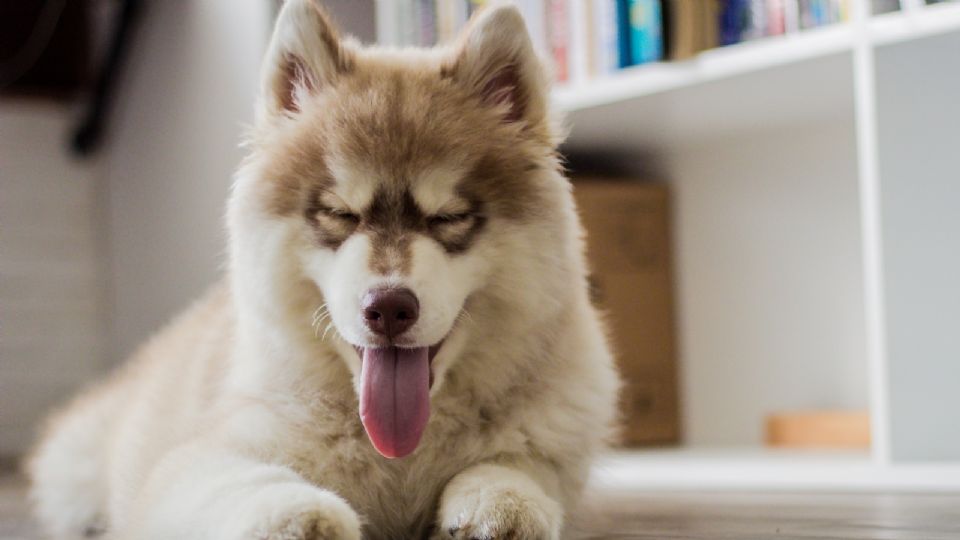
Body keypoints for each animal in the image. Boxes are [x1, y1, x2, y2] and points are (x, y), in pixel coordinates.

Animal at [30, 2, 620, 536]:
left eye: (447, 217)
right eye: (340, 214)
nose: (388, 308)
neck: (400, 455)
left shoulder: (557, 450)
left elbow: (521, 466)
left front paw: (501, 500)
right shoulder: (192, 460)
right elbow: (247, 482)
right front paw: (301, 513)